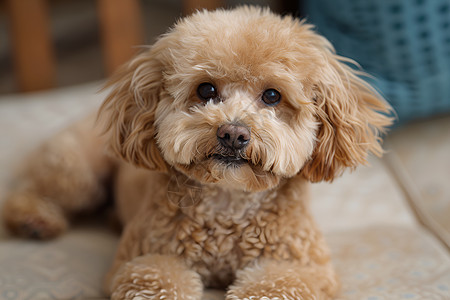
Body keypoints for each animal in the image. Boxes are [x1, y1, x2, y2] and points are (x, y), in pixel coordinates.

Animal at [1, 7, 392, 300]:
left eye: (272, 96)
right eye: (206, 90)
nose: (233, 133)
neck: (229, 205)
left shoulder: (301, 266)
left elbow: (273, 284)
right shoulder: (145, 259)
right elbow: (158, 280)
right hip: (79, 170)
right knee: (33, 189)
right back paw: (34, 219)